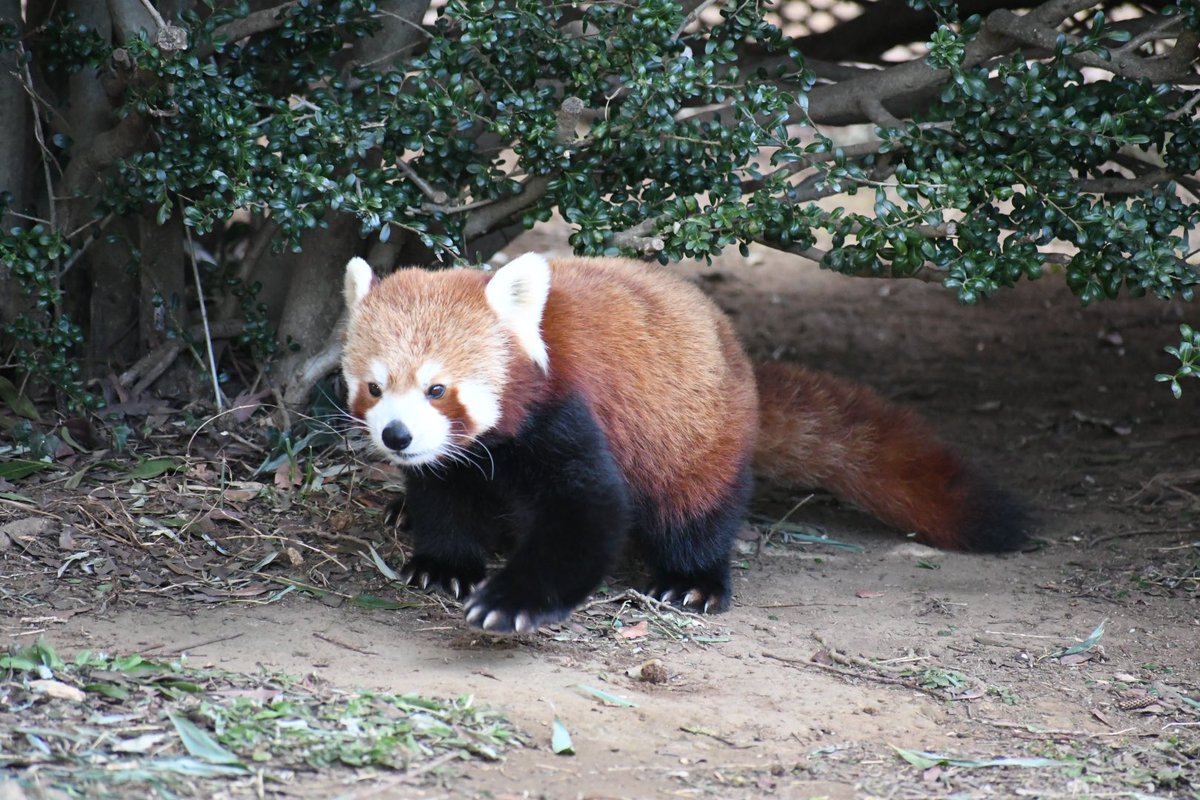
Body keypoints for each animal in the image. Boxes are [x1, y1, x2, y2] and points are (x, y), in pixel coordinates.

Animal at [343, 253, 1027, 633]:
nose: (397, 436)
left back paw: (693, 581)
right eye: (374, 388)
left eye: (437, 388)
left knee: (695, 510)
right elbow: (446, 499)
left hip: (699, 437)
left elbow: (588, 513)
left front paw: (511, 602)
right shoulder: (454, 460)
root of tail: (737, 351)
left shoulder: (568, 415)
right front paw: (442, 564)